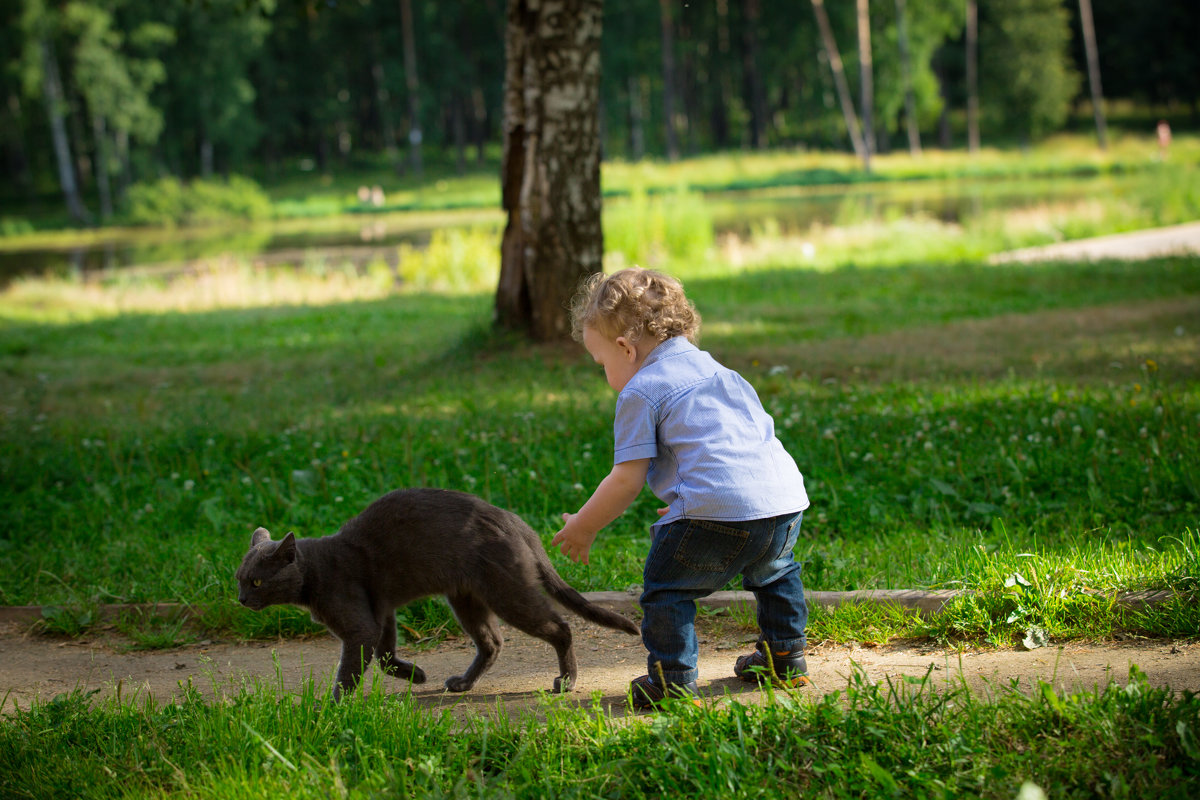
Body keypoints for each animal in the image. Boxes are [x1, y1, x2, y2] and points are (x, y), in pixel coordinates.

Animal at [237, 484, 643, 695]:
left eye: (256, 581)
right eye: (239, 579)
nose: (240, 600)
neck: (315, 573)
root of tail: (515, 522)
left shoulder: (360, 624)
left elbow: (352, 668)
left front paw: (333, 707)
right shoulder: (382, 611)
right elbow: (384, 655)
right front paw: (416, 675)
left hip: (507, 592)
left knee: (560, 627)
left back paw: (567, 680)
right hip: (466, 598)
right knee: (493, 642)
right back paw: (462, 682)